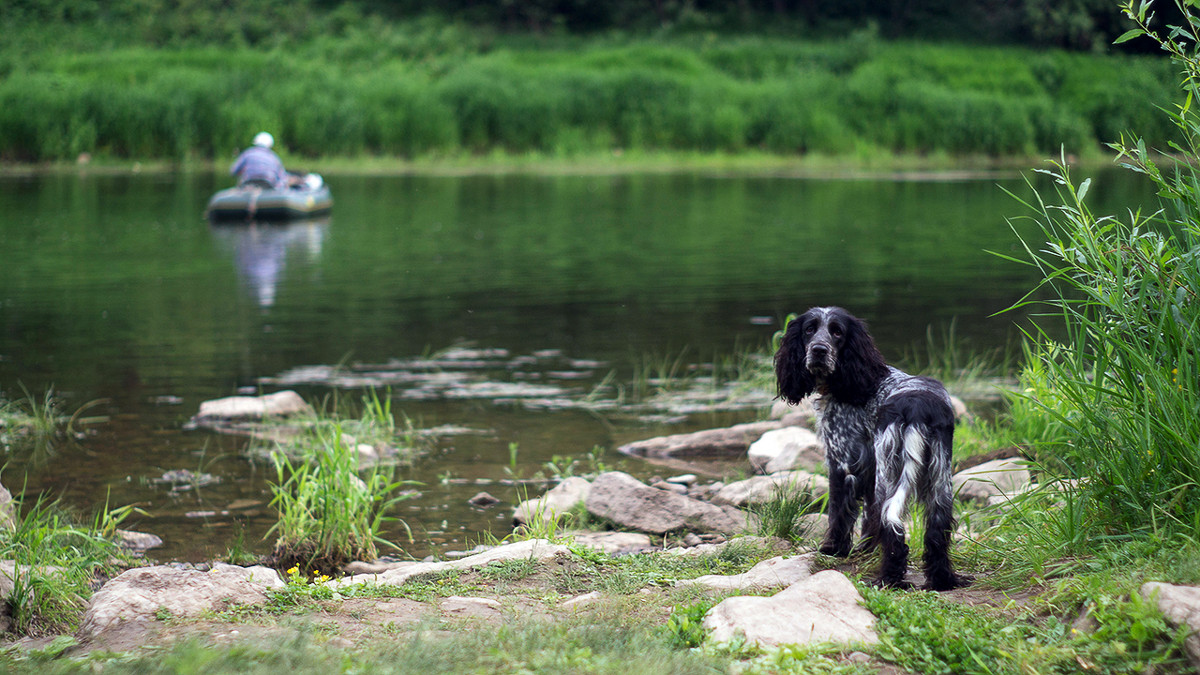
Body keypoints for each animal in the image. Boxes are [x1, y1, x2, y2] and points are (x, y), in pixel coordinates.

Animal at [777, 306, 964, 588]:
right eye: (809, 329)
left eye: (837, 332)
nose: (819, 350)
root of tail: (916, 409)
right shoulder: (869, 466)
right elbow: (869, 516)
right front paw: (865, 549)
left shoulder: (842, 463)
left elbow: (839, 513)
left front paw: (832, 549)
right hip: (940, 479)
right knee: (936, 528)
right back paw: (942, 580)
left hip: (890, 475)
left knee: (892, 527)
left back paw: (889, 579)